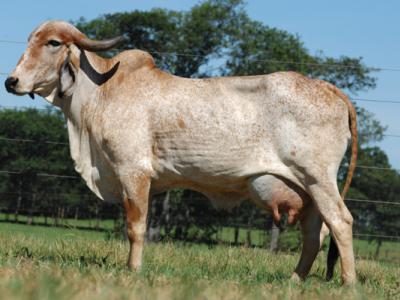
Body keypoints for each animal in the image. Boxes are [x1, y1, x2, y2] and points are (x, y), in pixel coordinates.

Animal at [4, 21, 358, 284]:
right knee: (314, 234)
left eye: (52, 43)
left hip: (318, 179)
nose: (12, 81)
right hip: (307, 189)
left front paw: (133, 270)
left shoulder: (134, 172)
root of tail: (327, 87)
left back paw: (348, 282)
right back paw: (294, 280)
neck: (101, 93)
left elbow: (136, 228)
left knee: (340, 222)